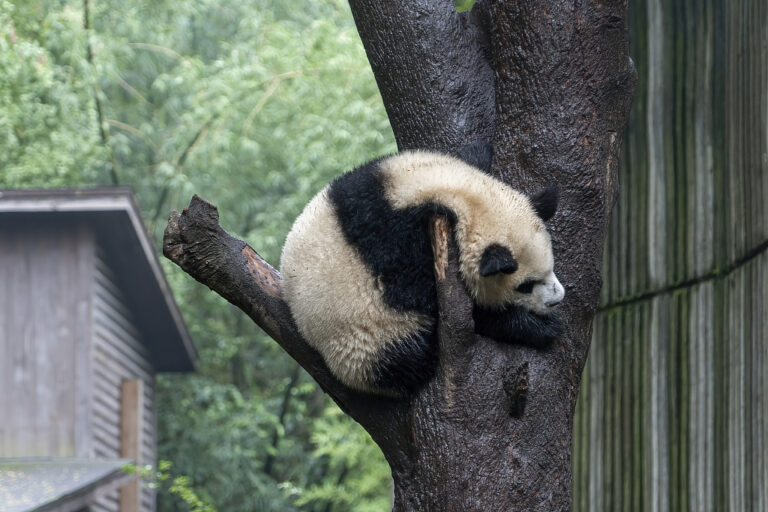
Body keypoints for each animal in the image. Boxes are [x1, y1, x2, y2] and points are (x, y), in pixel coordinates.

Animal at [282, 148, 564, 396]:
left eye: (551, 266)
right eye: (525, 286)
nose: (557, 299)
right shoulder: (399, 248)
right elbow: (442, 307)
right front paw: (538, 326)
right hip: (366, 344)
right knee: (411, 355)